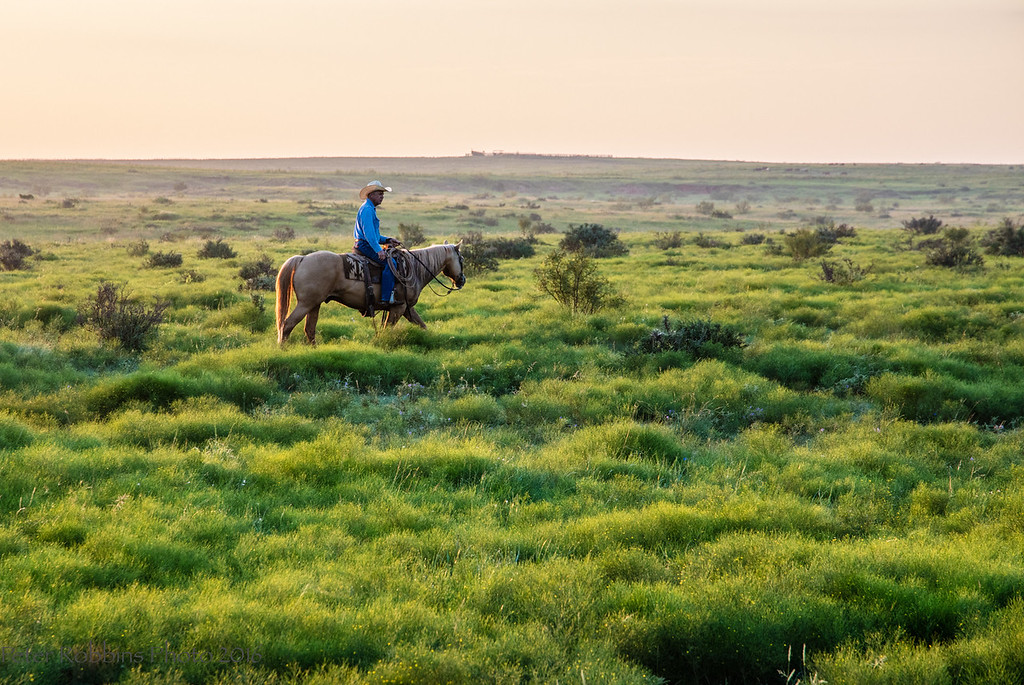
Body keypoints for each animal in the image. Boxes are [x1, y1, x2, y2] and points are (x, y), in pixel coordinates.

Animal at [275, 242, 465, 344]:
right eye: (461, 259)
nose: (462, 280)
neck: (415, 269)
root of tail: (302, 259)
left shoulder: (407, 309)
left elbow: (422, 326)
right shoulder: (398, 308)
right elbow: (387, 329)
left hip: (315, 304)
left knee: (309, 329)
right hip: (305, 304)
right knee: (287, 324)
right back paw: (283, 349)